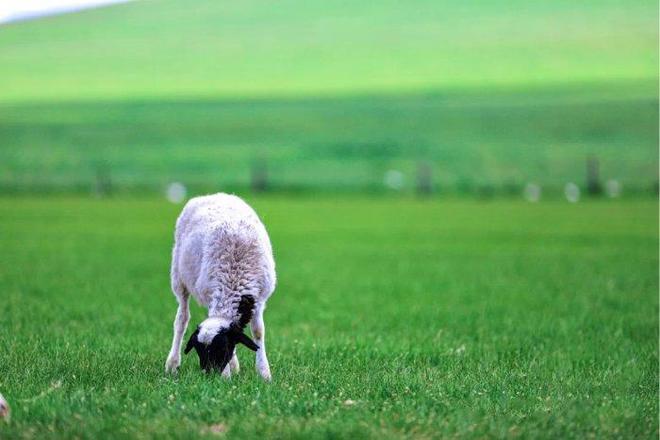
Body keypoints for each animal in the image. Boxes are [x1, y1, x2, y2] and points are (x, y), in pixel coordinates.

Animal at [166, 193, 278, 382]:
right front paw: (226, 376)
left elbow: (258, 332)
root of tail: (213, 195)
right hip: (178, 277)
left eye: (223, 348)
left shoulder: (260, 299)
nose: (210, 375)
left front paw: (264, 373)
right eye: (198, 350)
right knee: (181, 319)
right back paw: (172, 364)